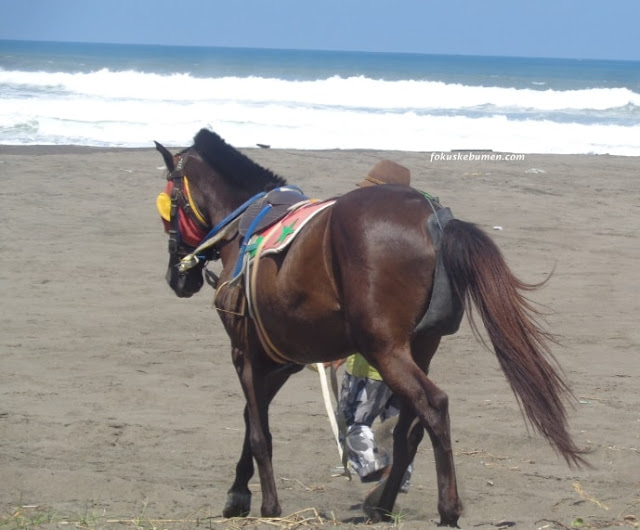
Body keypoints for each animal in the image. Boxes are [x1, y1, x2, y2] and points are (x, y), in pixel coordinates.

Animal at [154, 128, 584, 524]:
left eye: (168, 205)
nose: (177, 276)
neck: (247, 222)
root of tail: (436, 219)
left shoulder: (244, 352)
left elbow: (259, 432)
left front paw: (267, 504)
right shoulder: (279, 361)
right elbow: (251, 419)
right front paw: (238, 494)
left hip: (385, 349)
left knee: (434, 406)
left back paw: (447, 510)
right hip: (419, 347)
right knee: (409, 428)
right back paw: (383, 504)